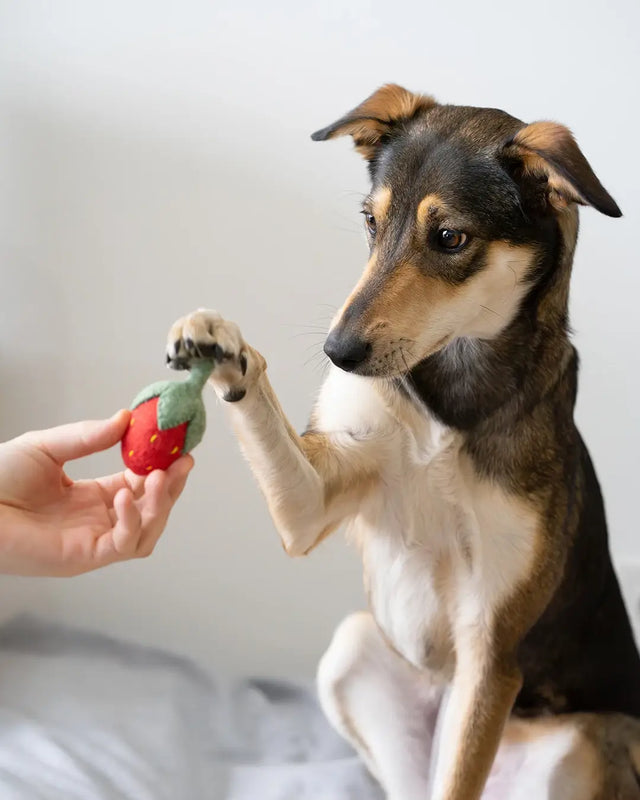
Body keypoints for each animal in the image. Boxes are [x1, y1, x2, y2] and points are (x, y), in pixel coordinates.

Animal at [166, 84, 640, 796]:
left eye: (449, 238)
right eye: (370, 221)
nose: (336, 352)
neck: (446, 400)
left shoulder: (490, 653)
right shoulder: (310, 505)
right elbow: (263, 410)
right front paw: (220, 345)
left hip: (580, 742)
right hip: (353, 648)